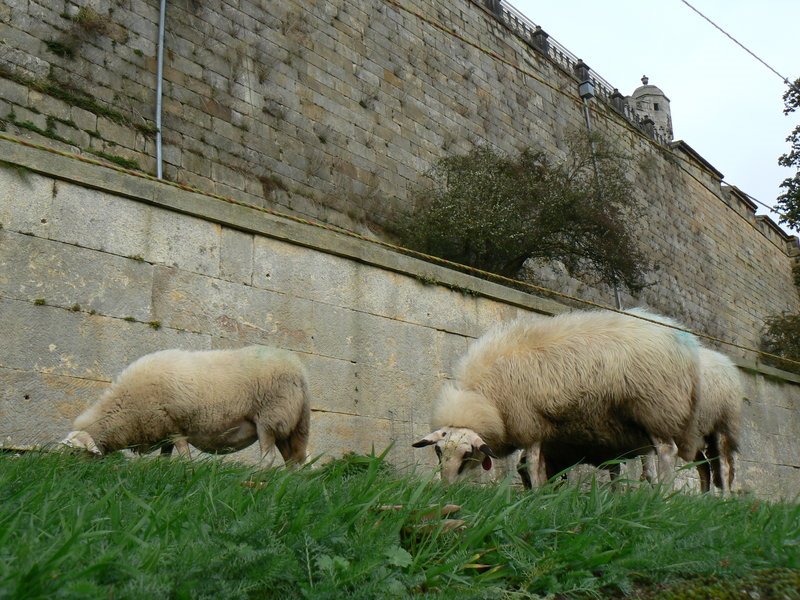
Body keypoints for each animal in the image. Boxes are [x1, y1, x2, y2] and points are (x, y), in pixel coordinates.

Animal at [61, 342, 310, 464]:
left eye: (72, 454)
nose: (60, 473)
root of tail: (299, 370)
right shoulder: (164, 433)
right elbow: (164, 460)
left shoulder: (173, 427)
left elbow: (184, 459)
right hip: (288, 427)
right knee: (293, 461)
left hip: (269, 419)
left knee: (268, 459)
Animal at [412, 310, 700, 488]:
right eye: (438, 451)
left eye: (467, 454)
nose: (446, 490)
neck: (486, 401)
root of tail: (684, 340)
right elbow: (533, 468)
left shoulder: (529, 424)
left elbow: (531, 466)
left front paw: (538, 497)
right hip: (641, 425)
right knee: (647, 464)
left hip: (657, 408)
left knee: (667, 452)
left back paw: (664, 496)